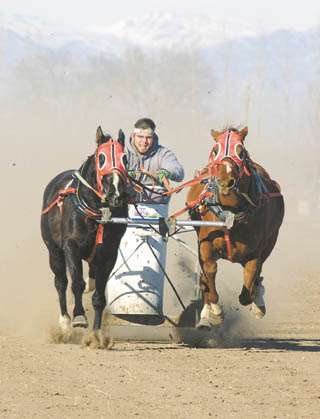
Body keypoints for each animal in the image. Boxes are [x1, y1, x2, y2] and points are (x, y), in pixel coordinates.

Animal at [40, 126, 128, 350]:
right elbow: (76, 282)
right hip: (54, 251)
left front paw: (96, 335)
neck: (97, 211)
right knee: (61, 282)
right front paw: (79, 317)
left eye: (125, 158)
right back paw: (64, 324)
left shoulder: (109, 253)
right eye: (102, 158)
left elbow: (99, 295)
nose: (116, 192)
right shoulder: (71, 246)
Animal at [188, 126, 284, 330]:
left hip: (271, 240)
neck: (230, 215)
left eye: (241, 151)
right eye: (215, 150)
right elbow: (209, 271)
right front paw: (214, 312)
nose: (225, 180)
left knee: (258, 275)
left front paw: (256, 302)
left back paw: (258, 301)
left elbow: (248, 288)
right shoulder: (205, 243)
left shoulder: (255, 251)